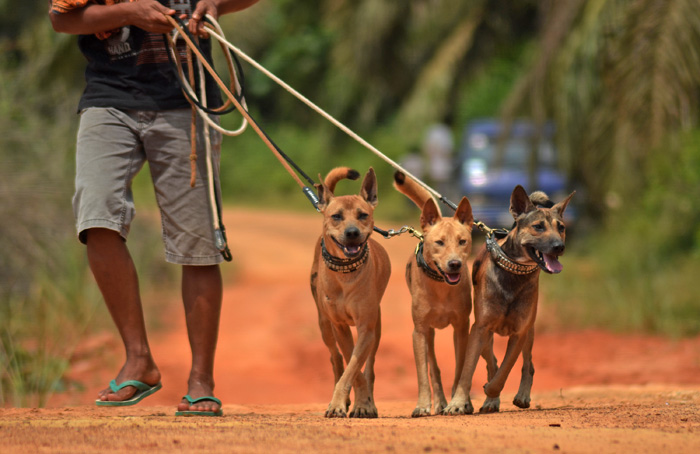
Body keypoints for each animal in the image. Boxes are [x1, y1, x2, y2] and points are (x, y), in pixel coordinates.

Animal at [308, 167, 392, 418]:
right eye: (336, 216)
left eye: (363, 215)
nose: (352, 232)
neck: (346, 272)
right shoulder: (339, 326)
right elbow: (350, 367)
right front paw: (343, 403)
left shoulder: (366, 327)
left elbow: (356, 368)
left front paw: (364, 404)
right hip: (324, 323)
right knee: (335, 358)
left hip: (377, 327)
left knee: (370, 366)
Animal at [394, 171, 476, 418]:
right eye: (439, 242)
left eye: (462, 241)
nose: (455, 264)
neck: (441, 286)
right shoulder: (419, 331)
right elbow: (423, 373)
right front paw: (422, 405)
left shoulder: (461, 328)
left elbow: (460, 369)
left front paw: (460, 403)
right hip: (428, 334)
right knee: (434, 369)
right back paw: (438, 402)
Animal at [442, 184, 576, 414]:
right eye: (538, 227)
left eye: (561, 227)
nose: (560, 246)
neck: (515, 272)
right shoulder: (480, 328)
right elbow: (469, 371)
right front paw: (459, 403)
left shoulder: (520, 332)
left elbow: (505, 370)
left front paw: (491, 392)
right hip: (486, 335)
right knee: (491, 361)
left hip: (529, 332)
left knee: (528, 365)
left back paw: (519, 396)